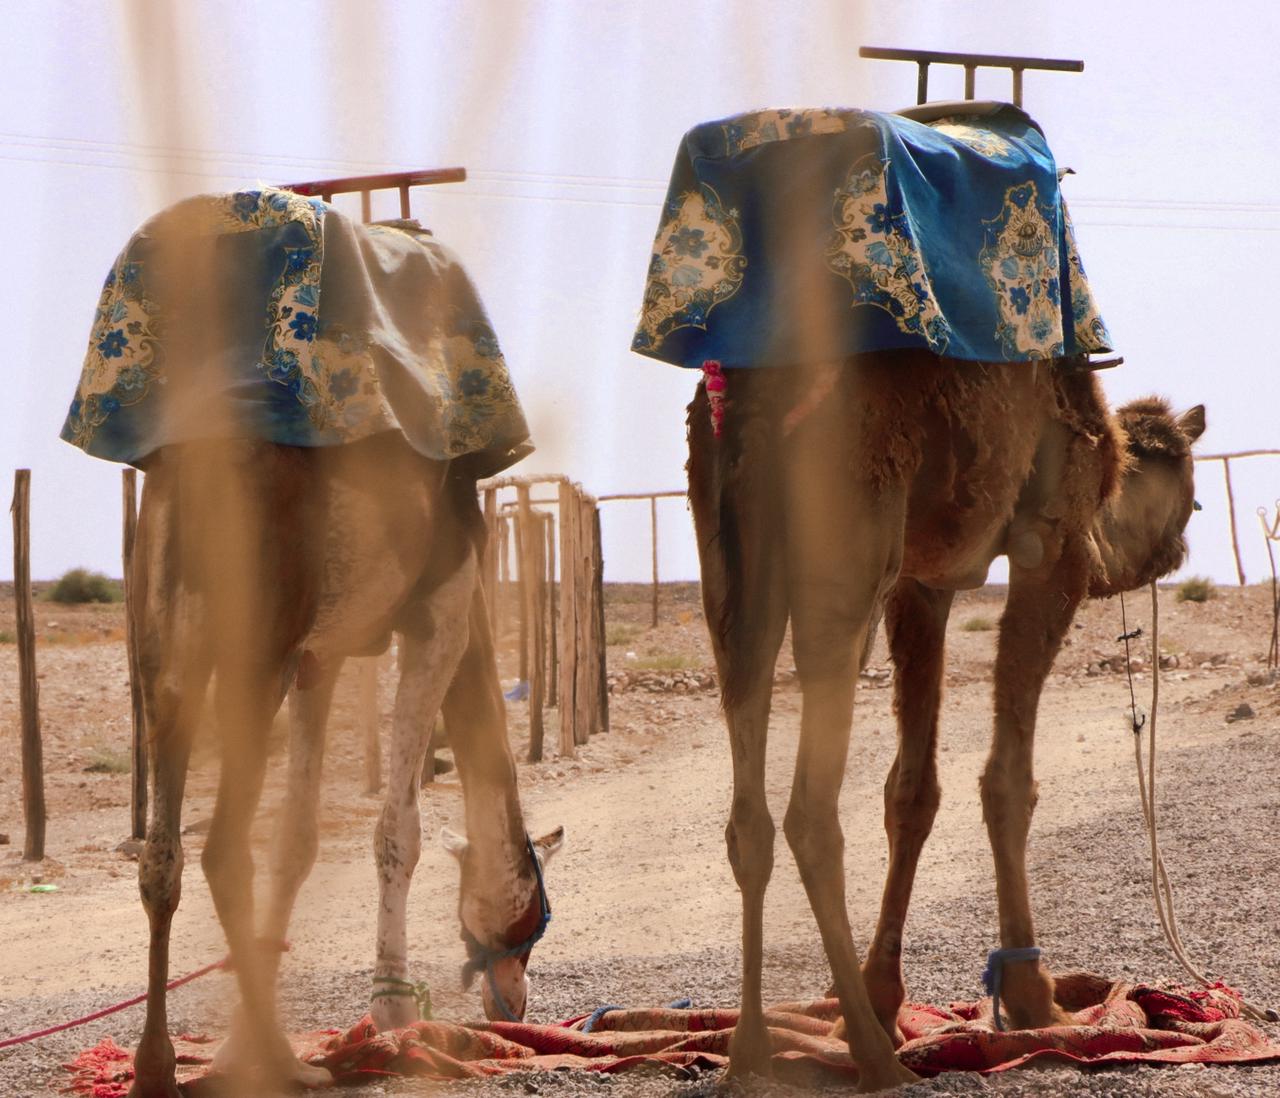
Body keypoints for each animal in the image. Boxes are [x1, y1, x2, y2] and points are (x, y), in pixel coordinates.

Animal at [127, 431, 562, 1096]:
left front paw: (233, 1047)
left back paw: (158, 1066)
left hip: (165, 653)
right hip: (254, 653)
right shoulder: (442, 611)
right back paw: (283, 1061)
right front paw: (394, 1013)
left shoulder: (320, 656)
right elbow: (398, 830)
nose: (512, 1005)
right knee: (222, 851)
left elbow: (297, 840)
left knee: (160, 858)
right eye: (533, 920)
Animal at [685, 351, 1203, 1091]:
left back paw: (753, 1049)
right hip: (843, 543)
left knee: (748, 815)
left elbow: (911, 792)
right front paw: (1034, 998)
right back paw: (875, 1057)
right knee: (810, 812)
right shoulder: (1054, 550)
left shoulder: (920, 582)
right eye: (1192, 494)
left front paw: (879, 996)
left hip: (728, 571)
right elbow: (1008, 781)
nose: (1180, 551)